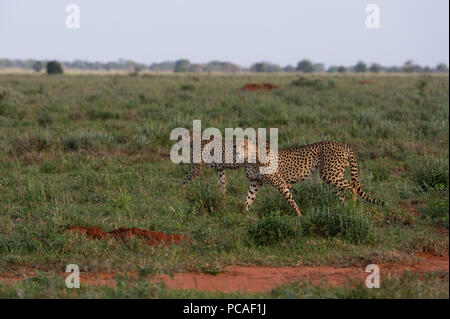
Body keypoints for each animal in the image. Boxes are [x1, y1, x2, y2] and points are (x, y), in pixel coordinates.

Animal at [243, 141, 384, 218]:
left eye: (243, 146)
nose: (238, 153)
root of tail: (343, 145)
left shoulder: (280, 183)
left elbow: (290, 200)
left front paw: (299, 215)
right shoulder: (254, 183)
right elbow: (248, 199)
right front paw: (242, 215)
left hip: (329, 174)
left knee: (353, 185)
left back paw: (352, 206)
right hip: (335, 175)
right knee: (343, 192)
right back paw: (341, 210)